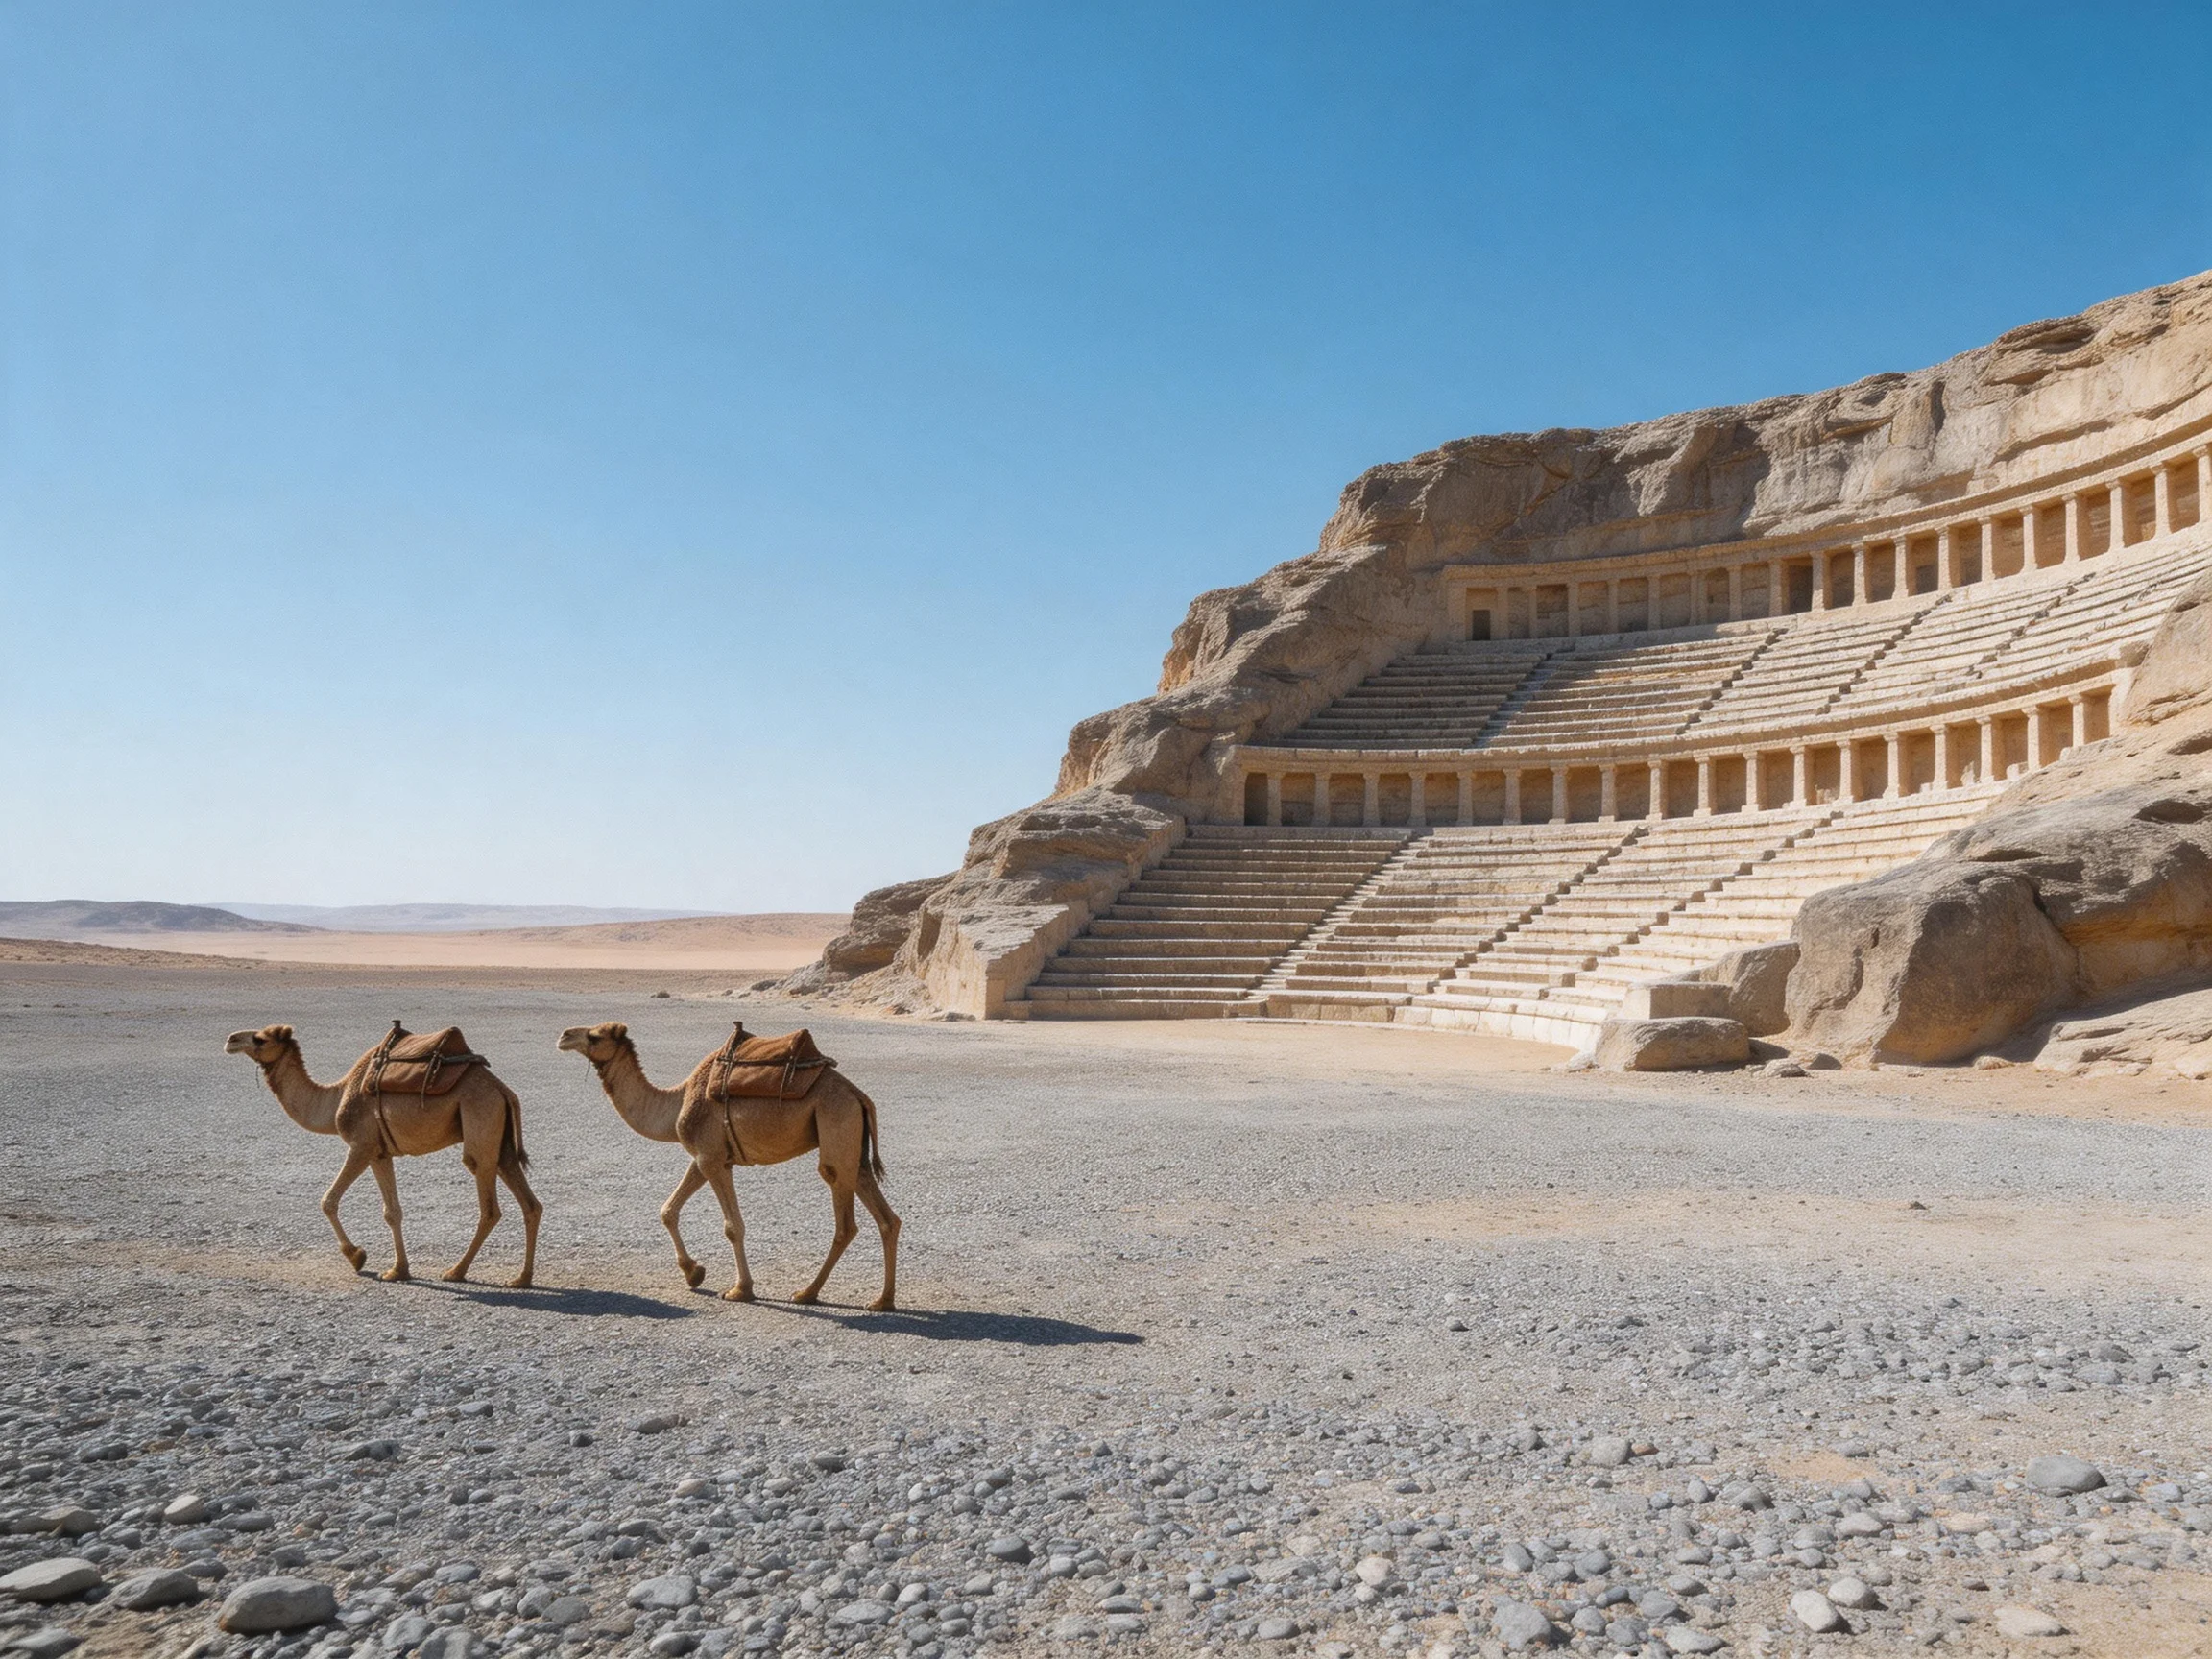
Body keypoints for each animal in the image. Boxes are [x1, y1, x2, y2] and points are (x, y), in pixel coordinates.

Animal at [225, 1025, 542, 1287]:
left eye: (260, 1038)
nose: (230, 1040)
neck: (337, 1097)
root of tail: (504, 1091)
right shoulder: (380, 1153)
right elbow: (392, 1211)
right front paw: (398, 1270)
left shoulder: (361, 1145)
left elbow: (328, 1201)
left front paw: (357, 1257)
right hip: (500, 1141)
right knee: (530, 1202)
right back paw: (521, 1279)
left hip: (480, 1119)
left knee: (489, 1206)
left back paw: (456, 1271)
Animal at [555, 1022, 898, 1309]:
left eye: (594, 1036)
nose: (564, 1036)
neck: (677, 1102)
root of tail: (859, 1096)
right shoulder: (706, 1158)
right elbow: (668, 1210)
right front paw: (694, 1273)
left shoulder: (711, 1158)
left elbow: (733, 1227)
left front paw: (739, 1290)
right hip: (852, 1146)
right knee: (887, 1218)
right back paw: (882, 1301)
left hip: (835, 1124)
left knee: (845, 1220)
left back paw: (807, 1293)